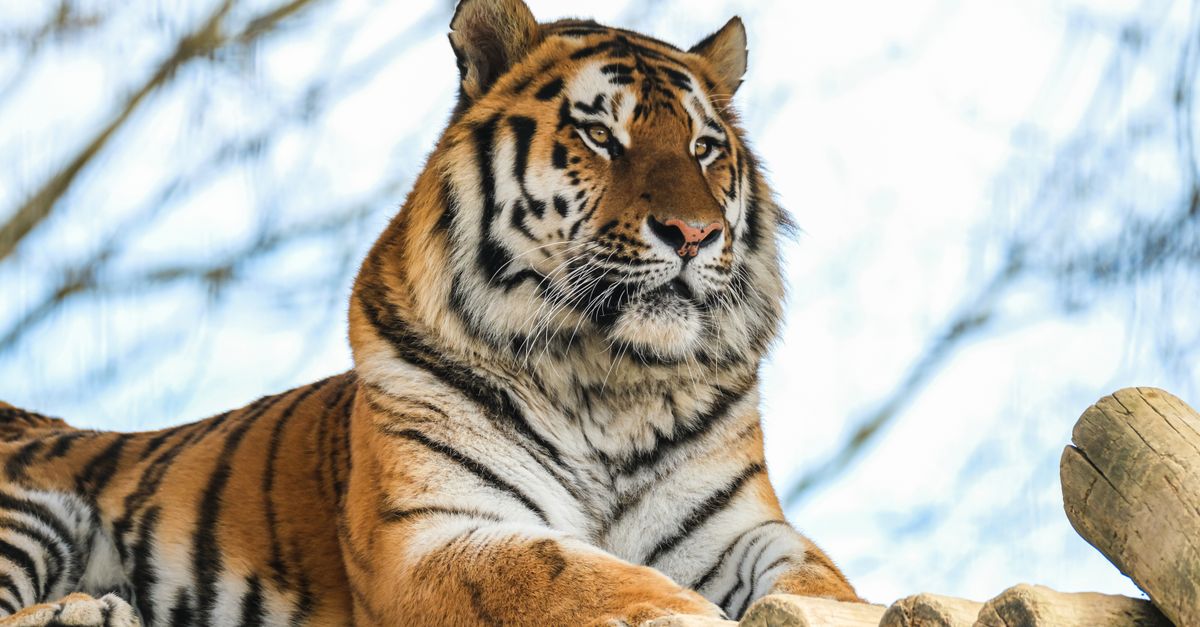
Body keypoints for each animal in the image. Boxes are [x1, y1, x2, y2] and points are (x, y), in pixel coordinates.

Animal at [0, 0, 861, 625]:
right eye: (598, 134)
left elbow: (820, 581)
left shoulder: (740, 529)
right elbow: (569, 572)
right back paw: (84, 611)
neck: (605, 382)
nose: (694, 233)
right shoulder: (429, 532)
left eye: (704, 147)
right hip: (36, 512)